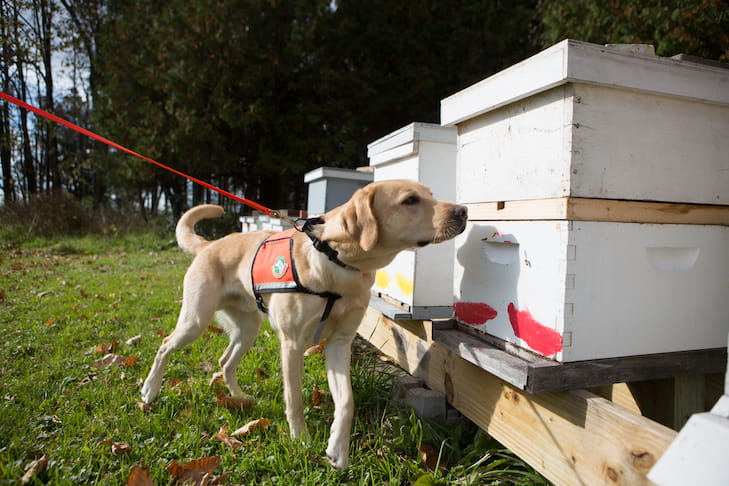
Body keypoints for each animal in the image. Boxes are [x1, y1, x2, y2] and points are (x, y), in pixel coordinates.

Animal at [141, 179, 466, 470]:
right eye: (410, 200)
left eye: (430, 195)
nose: (463, 211)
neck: (337, 260)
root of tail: (210, 245)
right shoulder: (293, 345)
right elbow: (295, 401)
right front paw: (301, 440)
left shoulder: (339, 345)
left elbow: (346, 402)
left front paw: (338, 450)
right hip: (195, 321)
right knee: (164, 346)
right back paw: (149, 390)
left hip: (248, 329)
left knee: (224, 361)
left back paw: (239, 398)